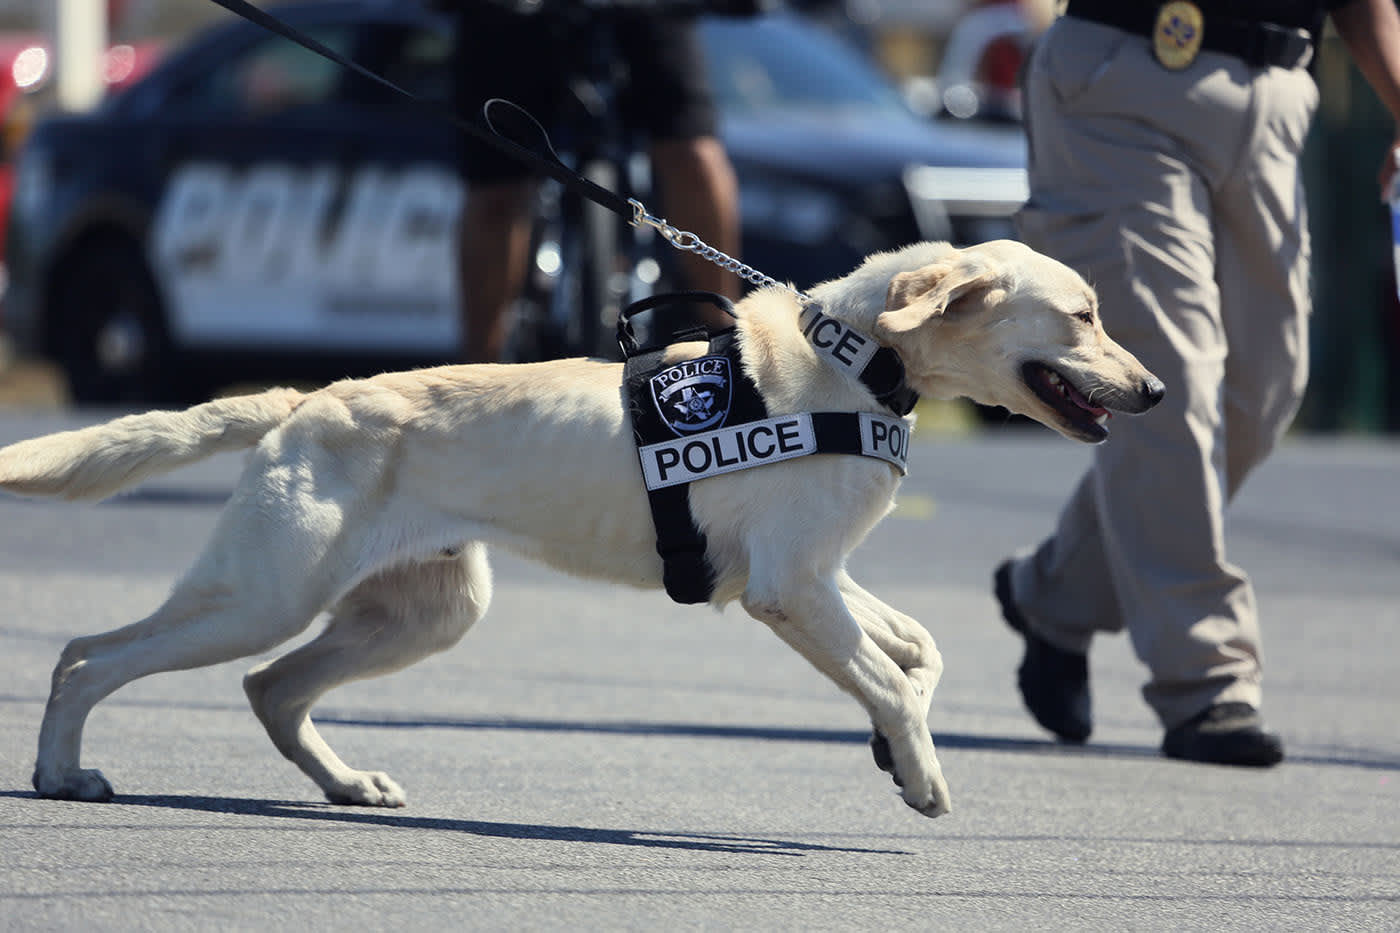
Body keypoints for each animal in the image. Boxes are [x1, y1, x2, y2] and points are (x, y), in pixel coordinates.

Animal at [2, 238, 1159, 812]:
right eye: (1085, 316)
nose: (1152, 391)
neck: (856, 359)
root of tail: (307, 398)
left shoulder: (816, 577)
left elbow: (915, 655)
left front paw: (892, 745)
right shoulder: (791, 587)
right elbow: (890, 677)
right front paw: (918, 775)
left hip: (422, 612)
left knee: (270, 688)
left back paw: (345, 783)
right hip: (261, 592)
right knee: (86, 656)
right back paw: (62, 773)